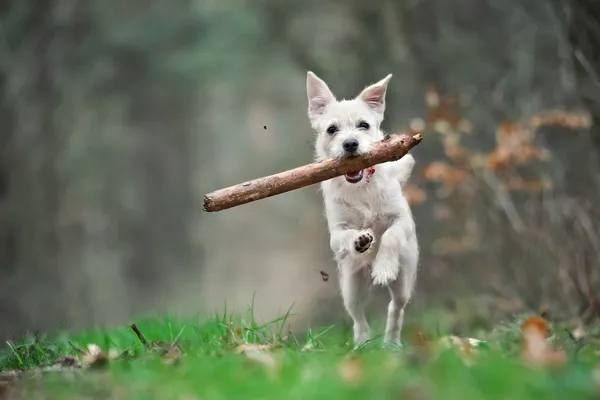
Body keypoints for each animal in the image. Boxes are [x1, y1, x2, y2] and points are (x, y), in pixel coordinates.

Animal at [308, 70, 420, 346]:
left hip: (403, 280)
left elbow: (390, 235)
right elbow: (346, 235)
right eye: (332, 129)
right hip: (351, 285)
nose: (350, 144)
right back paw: (362, 344)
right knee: (358, 317)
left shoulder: (401, 220)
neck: (361, 187)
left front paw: (383, 268)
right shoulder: (336, 233)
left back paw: (391, 343)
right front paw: (359, 239)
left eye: (364, 125)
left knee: (396, 309)